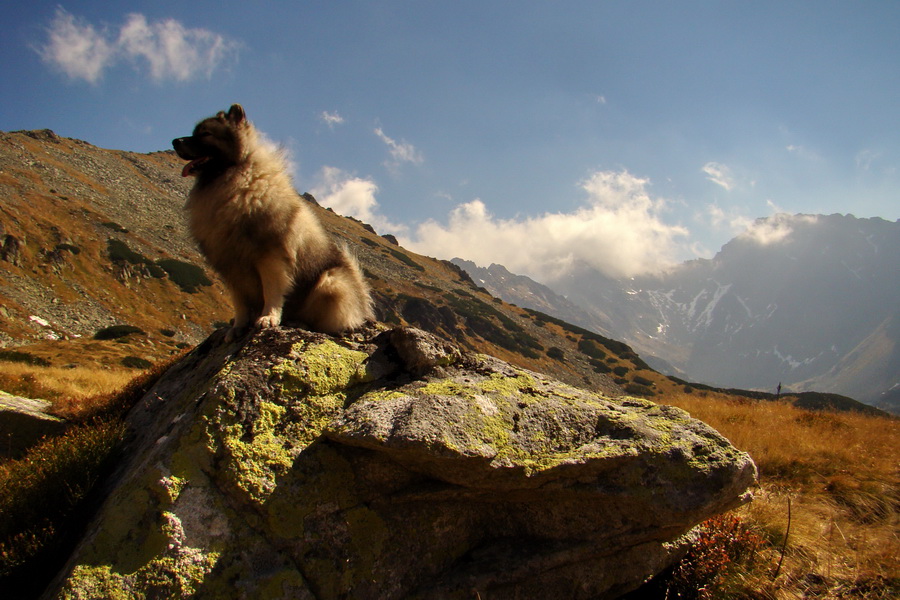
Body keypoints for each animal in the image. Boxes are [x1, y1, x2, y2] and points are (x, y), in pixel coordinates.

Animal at [172, 102, 372, 338]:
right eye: (195, 132)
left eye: (205, 134)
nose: (175, 141)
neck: (236, 178)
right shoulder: (231, 267)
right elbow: (240, 302)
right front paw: (238, 326)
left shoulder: (271, 258)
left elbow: (272, 291)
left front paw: (268, 317)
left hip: (330, 283)